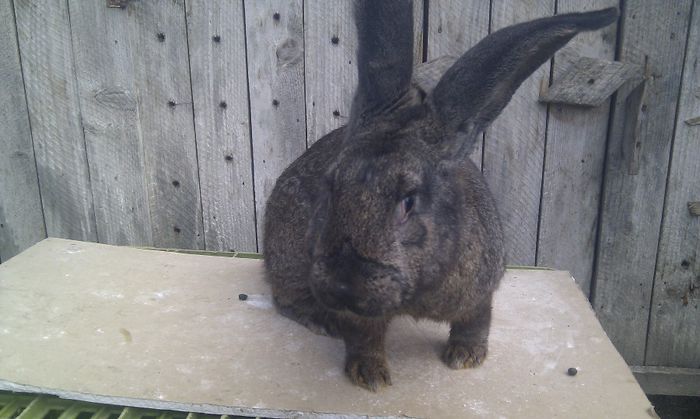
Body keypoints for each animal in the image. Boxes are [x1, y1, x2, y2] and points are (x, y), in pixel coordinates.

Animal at [264, 0, 616, 394]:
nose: (343, 286)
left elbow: (477, 319)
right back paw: (320, 321)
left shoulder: (480, 292)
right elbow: (363, 335)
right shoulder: (361, 315)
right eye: (330, 187)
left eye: (409, 202)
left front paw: (466, 357)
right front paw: (370, 375)